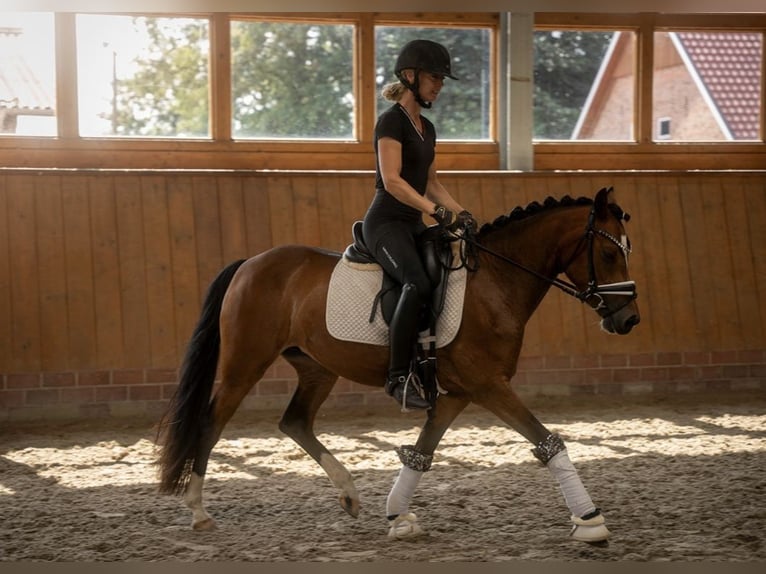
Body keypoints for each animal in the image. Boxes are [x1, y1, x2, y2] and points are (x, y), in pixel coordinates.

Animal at [156, 188, 640, 544]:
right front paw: (591, 521)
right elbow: (547, 441)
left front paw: (398, 516)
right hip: (246, 363)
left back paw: (349, 494)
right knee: (211, 422)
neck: (494, 281)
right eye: (610, 255)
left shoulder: (459, 392)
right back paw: (198, 511)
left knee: (294, 421)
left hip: (317, 367)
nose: (629, 320)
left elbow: (422, 452)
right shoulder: (488, 385)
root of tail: (250, 264)